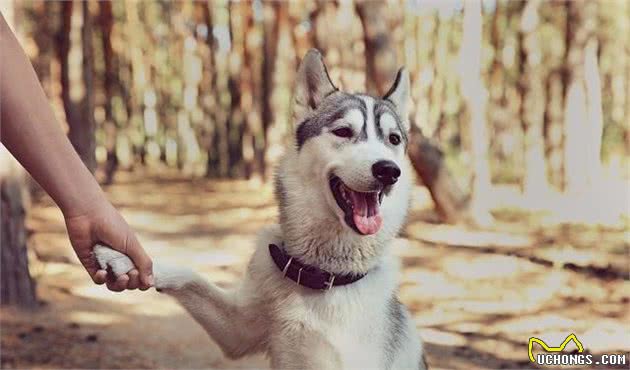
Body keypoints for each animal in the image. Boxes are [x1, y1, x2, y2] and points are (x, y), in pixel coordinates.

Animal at [95, 49, 430, 370]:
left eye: (394, 139)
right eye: (344, 131)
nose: (389, 171)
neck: (322, 275)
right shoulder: (236, 331)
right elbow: (187, 275)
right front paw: (123, 258)